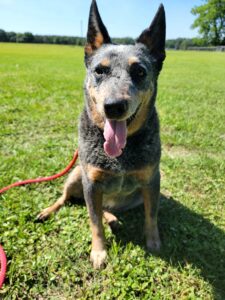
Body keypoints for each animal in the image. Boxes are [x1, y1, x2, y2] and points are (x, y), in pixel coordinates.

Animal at [38, 0, 165, 268]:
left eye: (139, 71)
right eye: (100, 70)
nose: (114, 106)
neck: (120, 155)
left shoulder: (151, 180)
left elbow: (151, 215)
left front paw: (154, 242)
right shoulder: (92, 182)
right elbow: (94, 222)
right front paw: (99, 252)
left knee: (105, 208)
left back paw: (113, 218)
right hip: (76, 174)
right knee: (66, 198)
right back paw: (47, 211)